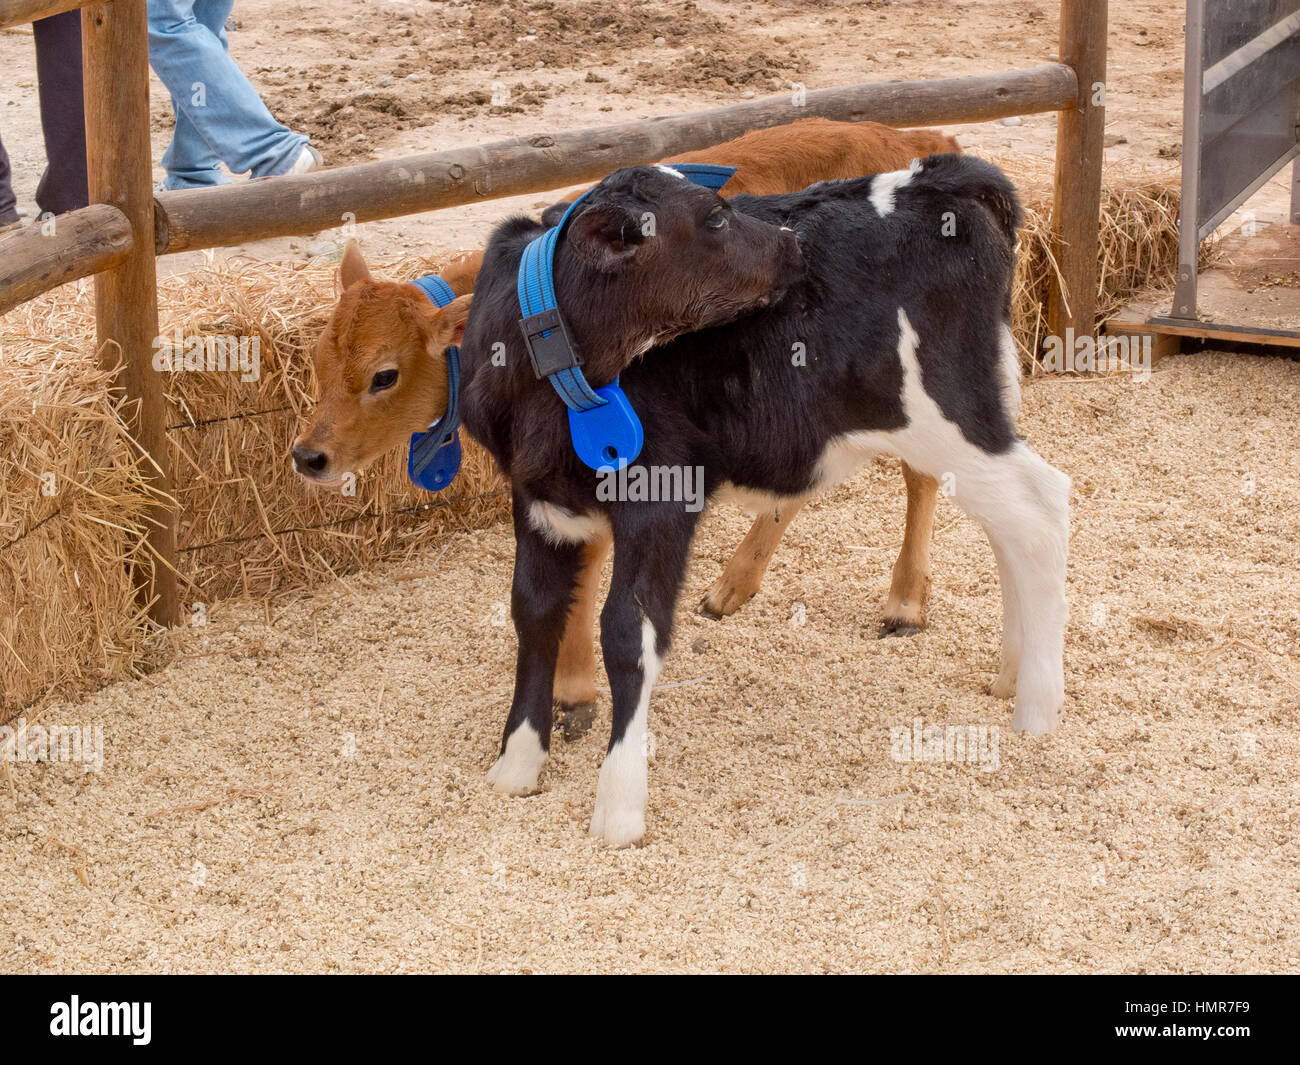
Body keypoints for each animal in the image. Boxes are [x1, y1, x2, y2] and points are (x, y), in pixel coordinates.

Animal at [462, 154, 1071, 847]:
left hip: (947, 417)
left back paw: (1036, 709)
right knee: (1009, 529)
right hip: (973, 419)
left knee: (1041, 510)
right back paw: (1011, 673)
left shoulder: (661, 491)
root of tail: (943, 176)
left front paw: (619, 804)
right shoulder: (537, 497)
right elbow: (533, 612)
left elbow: (627, 629)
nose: (793, 244)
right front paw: (517, 762)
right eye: (716, 217)